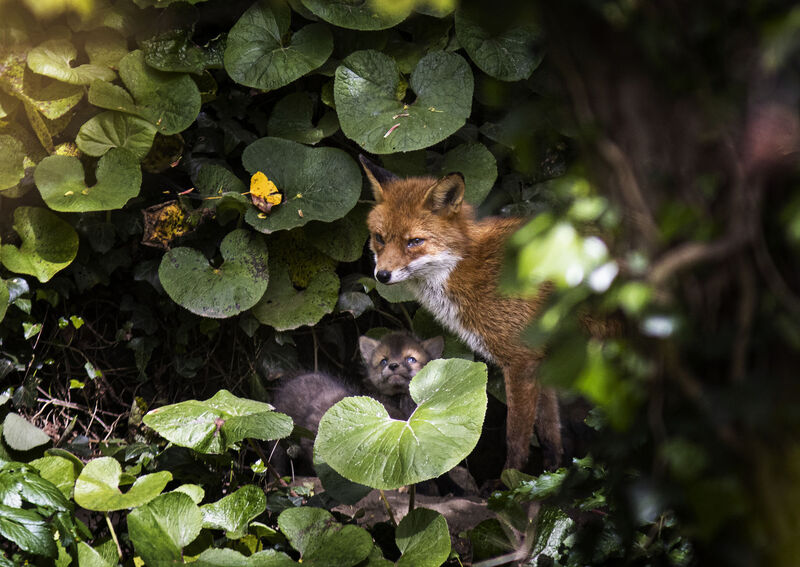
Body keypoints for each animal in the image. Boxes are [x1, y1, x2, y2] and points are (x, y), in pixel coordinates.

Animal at [360, 155, 562, 471]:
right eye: (380, 238)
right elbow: (551, 433)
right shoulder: (542, 358)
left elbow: (516, 439)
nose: (381, 275)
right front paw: (552, 475)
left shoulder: (521, 360)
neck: (467, 266)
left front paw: (510, 482)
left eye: (414, 241)